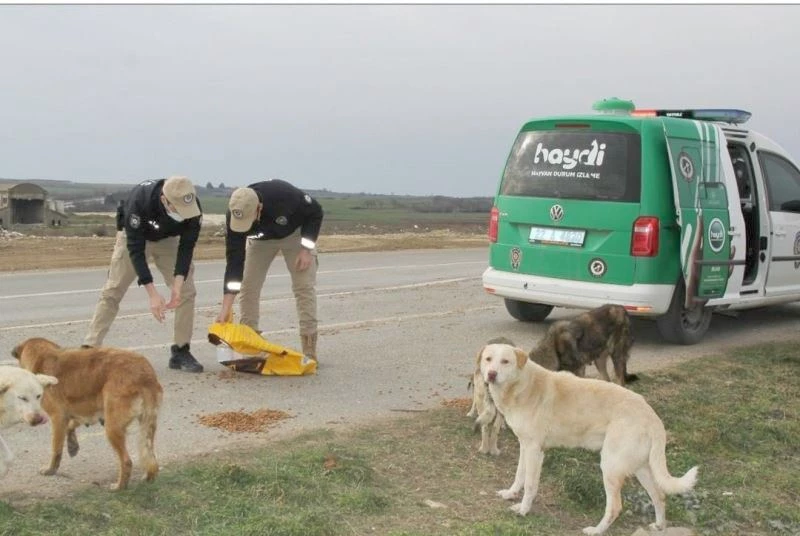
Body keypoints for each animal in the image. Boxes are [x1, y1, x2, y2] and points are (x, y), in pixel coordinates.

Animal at [12, 340, 163, 490]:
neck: (43, 356)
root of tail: (146, 374)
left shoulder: (58, 418)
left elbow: (56, 449)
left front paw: (51, 469)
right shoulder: (84, 412)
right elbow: (71, 426)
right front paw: (72, 445)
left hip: (112, 427)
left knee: (127, 461)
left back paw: (120, 486)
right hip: (146, 426)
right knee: (151, 458)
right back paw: (148, 477)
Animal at [478, 346, 696, 532]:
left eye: (505, 361)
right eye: (488, 359)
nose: (491, 374)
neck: (522, 384)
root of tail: (652, 416)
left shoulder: (533, 450)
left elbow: (530, 485)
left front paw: (524, 510)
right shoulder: (526, 447)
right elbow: (519, 476)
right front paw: (511, 494)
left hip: (610, 467)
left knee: (615, 507)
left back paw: (596, 530)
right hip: (640, 468)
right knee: (659, 496)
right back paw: (659, 526)